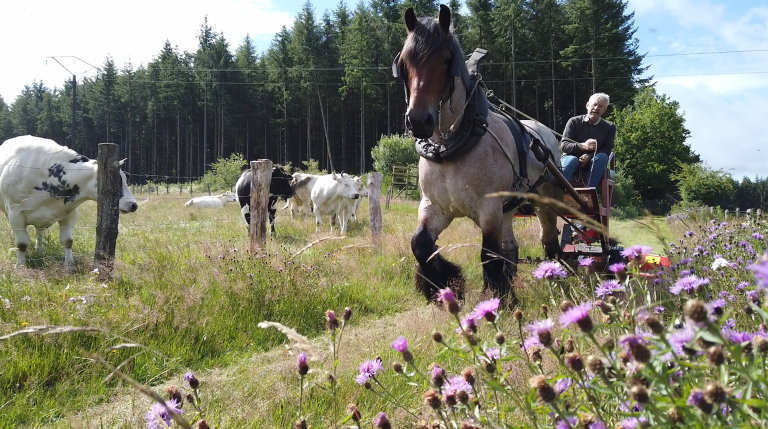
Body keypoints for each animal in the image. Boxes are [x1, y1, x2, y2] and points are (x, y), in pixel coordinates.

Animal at [394, 5, 564, 304]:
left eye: (445, 59)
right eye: (404, 62)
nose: (418, 121)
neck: (452, 147)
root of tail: (544, 133)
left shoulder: (489, 208)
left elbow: (489, 255)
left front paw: (497, 298)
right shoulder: (434, 206)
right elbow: (421, 244)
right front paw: (444, 284)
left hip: (545, 202)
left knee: (549, 241)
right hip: (508, 209)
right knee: (512, 247)